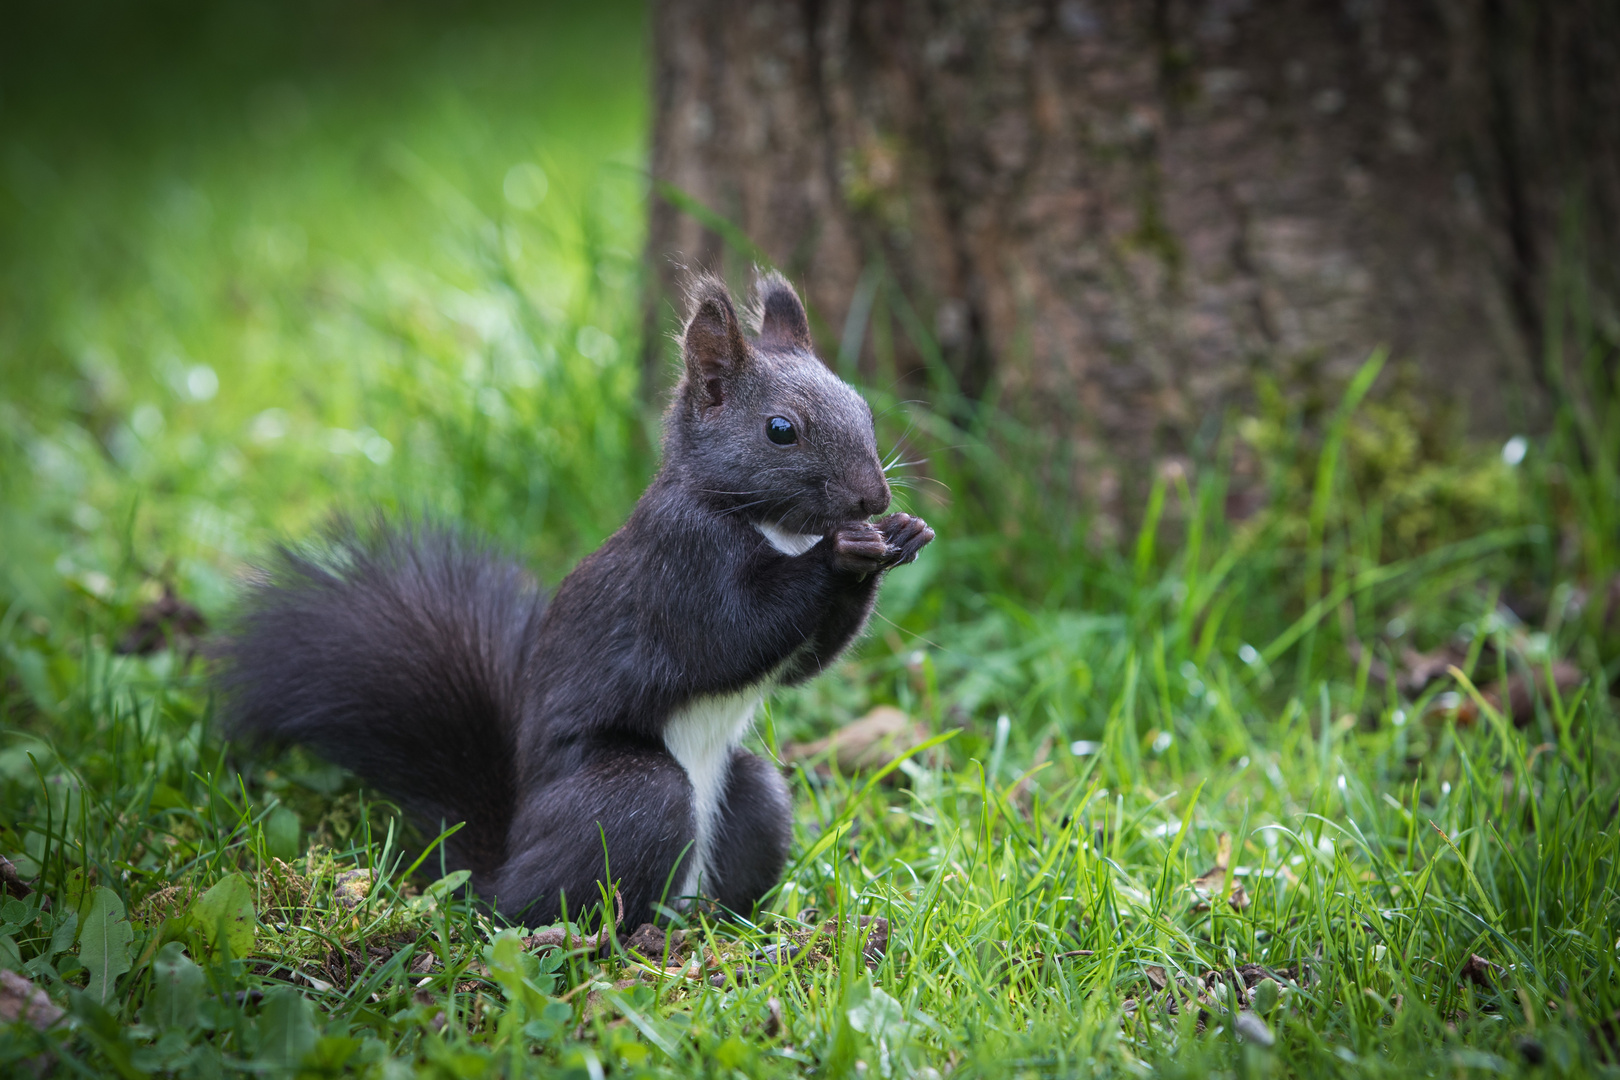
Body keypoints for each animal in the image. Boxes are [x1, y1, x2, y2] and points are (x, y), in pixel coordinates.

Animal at [225, 275, 939, 926]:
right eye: (781, 429)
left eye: (864, 409)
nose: (874, 497)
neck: (773, 526)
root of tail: (502, 868)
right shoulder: (678, 563)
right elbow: (729, 636)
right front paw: (841, 552)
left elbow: (804, 664)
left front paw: (900, 534)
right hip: (628, 800)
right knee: (557, 901)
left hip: (755, 799)